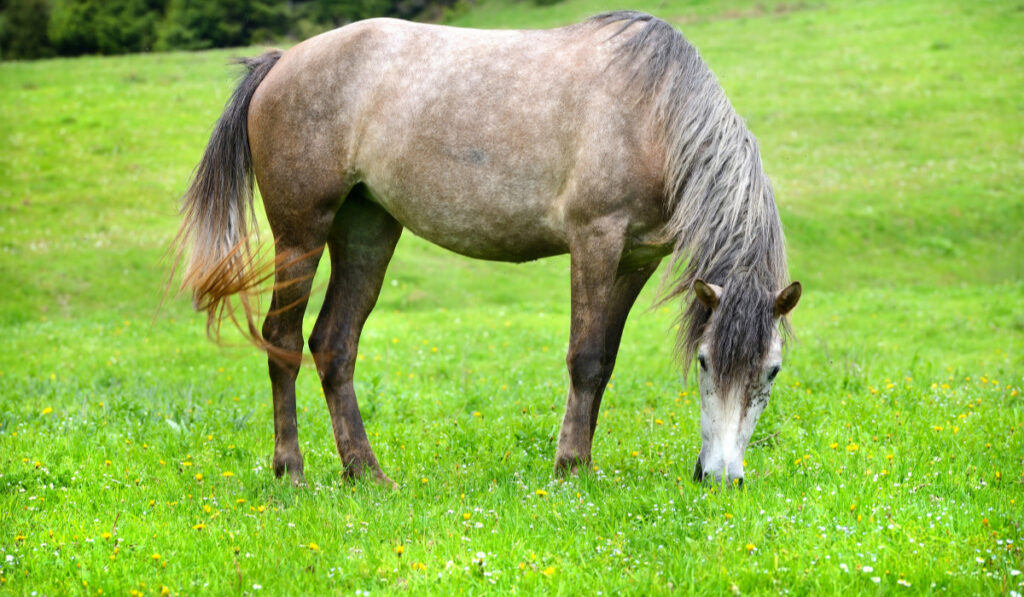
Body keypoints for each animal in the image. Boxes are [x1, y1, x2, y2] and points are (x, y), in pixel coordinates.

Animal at [176, 12, 798, 491]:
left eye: (771, 371)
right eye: (704, 362)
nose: (721, 479)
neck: (655, 116)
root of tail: (281, 62)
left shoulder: (635, 260)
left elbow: (606, 364)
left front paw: (583, 461)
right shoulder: (594, 241)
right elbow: (585, 358)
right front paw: (569, 469)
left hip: (367, 231)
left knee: (334, 345)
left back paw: (366, 475)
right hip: (300, 235)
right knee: (282, 340)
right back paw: (292, 471)